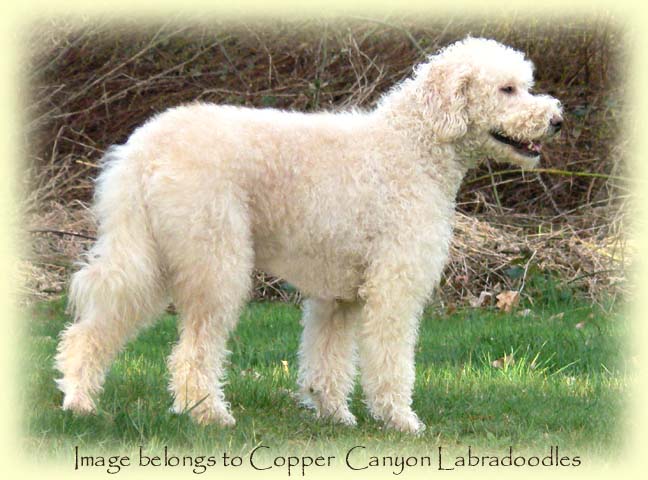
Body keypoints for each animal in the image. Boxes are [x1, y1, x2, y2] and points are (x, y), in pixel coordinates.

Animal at [54, 37, 560, 434]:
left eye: (526, 85)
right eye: (507, 89)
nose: (556, 120)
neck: (413, 145)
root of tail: (143, 148)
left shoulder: (338, 297)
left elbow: (328, 360)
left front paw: (333, 413)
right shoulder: (394, 287)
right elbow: (391, 361)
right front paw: (401, 420)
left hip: (149, 256)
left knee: (93, 328)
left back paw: (80, 402)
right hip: (215, 263)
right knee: (192, 353)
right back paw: (209, 415)